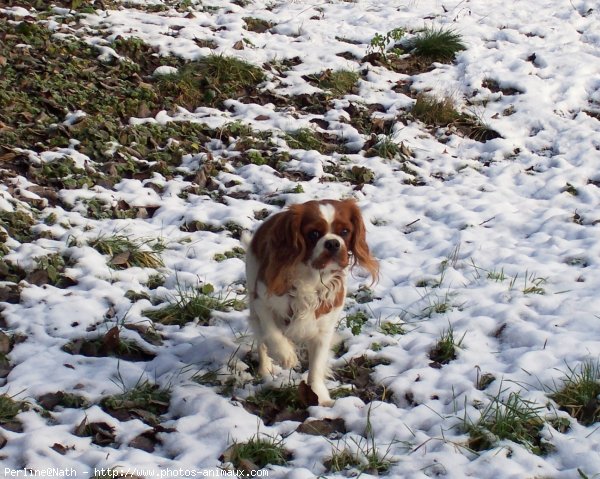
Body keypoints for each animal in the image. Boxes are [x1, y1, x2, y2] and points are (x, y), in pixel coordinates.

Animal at [243, 199, 376, 404]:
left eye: (345, 231)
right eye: (313, 234)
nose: (333, 243)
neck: (311, 277)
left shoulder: (323, 329)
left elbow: (316, 366)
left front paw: (319, 397)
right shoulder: (261, 301)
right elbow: (271, 333)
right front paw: (285, 354)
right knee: (261, 340)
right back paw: (264, 369)